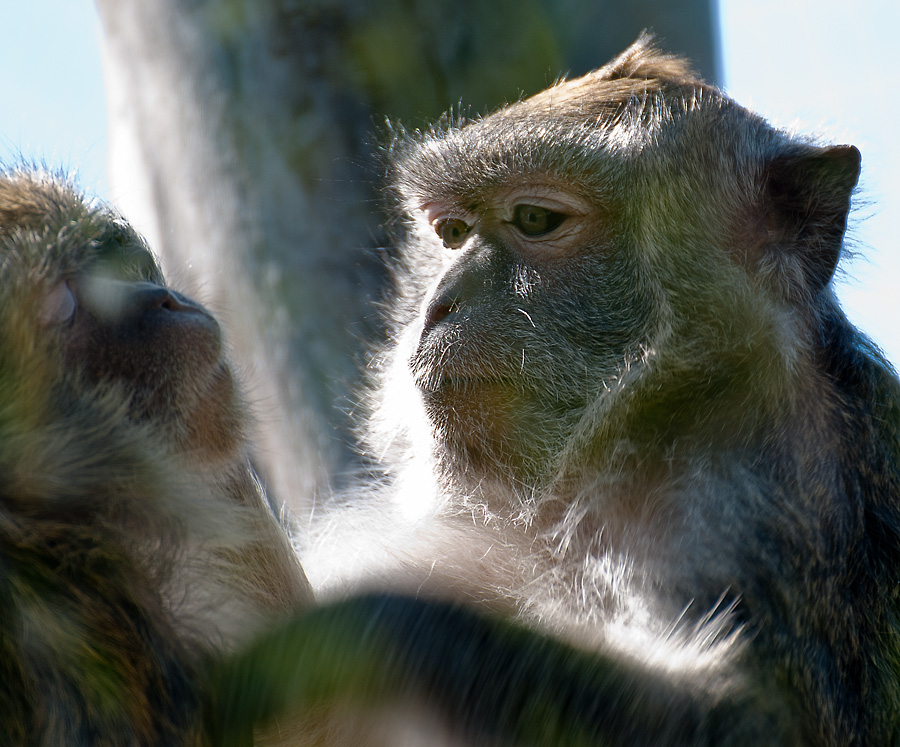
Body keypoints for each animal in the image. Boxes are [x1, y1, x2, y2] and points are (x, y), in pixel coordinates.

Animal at [296, 34, 900, 746]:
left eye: (535, 219)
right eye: (450, 234)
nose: (438, 306)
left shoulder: (756, 506)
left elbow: (756, 721)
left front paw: (360, 626)